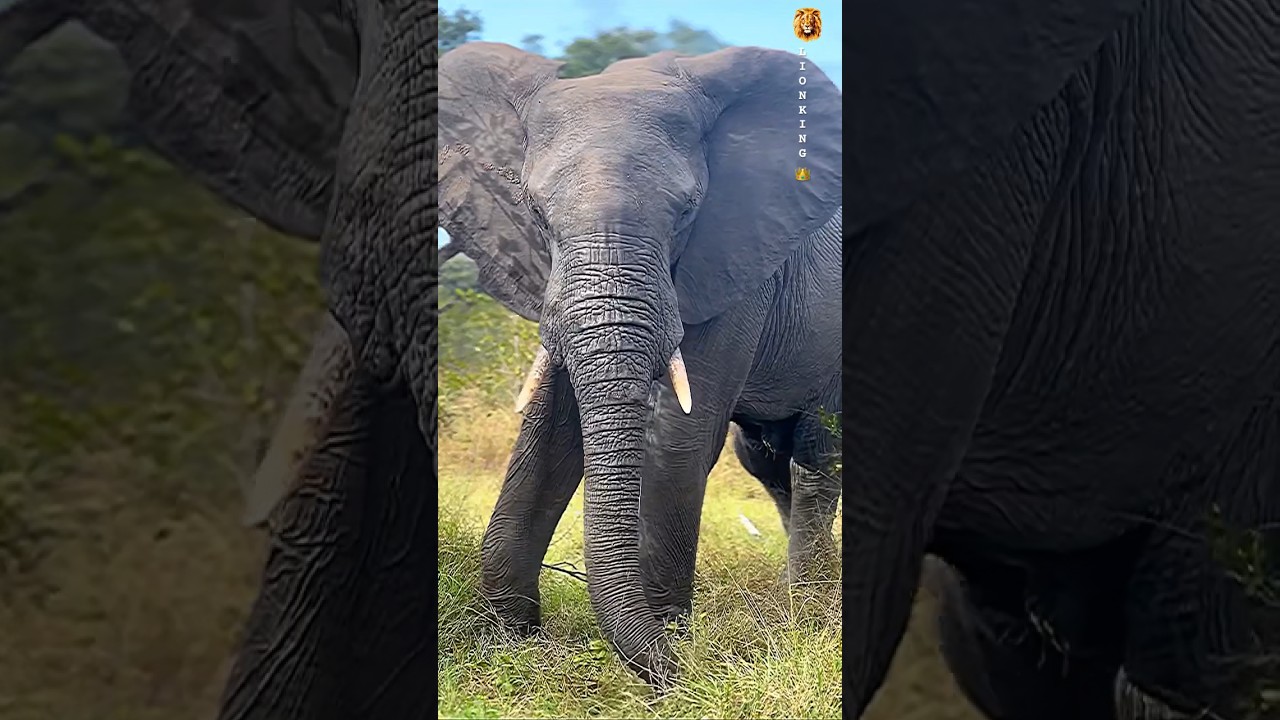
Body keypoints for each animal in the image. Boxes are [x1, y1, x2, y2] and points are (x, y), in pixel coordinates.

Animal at [437, 43, 843, 685]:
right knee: (768, 462)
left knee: (816, 457)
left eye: (688, 212)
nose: (689, 666)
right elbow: (550, 433)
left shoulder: (732, 262)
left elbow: (679, 436)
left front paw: (670, 654)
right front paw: (508, 642)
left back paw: (811, 613)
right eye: (535, 213)